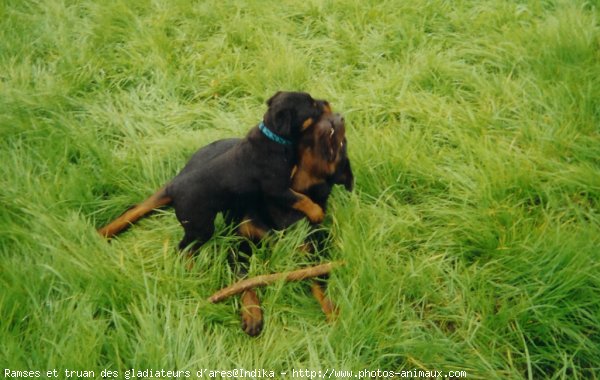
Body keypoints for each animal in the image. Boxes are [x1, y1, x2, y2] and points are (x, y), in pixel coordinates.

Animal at [100, 91, 330, 251]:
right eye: (312, 105)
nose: (327, 102)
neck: (274, 137)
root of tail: (174, 189)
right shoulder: (276, 188)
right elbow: (301, 198)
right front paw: (316, 212)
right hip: (200, 226)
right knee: (184, 248)